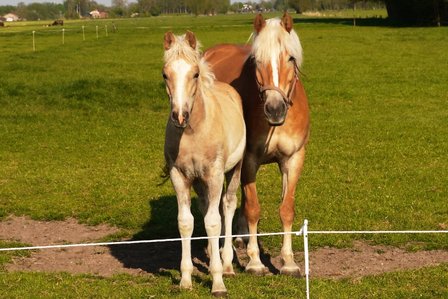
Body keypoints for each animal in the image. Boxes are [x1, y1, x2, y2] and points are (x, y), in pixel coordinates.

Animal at [162, 31, 245, 298]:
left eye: (195, 74)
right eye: (165, 74)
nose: (179, 116)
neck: (194, 131)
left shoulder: (215, 174)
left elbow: (213, 222)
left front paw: (218, 282)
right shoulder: (180, 176)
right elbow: (186, 222)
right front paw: (185, 279)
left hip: (234, 170)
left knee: (227, 206)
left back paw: (227, 263)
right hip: (199, 182)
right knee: (208, 205)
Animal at [205, 12, 310, 278]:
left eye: (290, 57)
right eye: (256, 60)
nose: (275, 108)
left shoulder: (293, 160)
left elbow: (286, 209)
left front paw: (289, 262)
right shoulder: (250, 159)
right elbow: (253, 208)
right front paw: (254, 261)